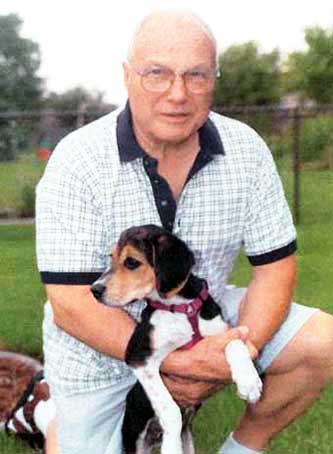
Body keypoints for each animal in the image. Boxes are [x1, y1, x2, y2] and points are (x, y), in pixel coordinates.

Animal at [91, 224, 262, 454]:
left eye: (131, 262)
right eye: (111, 257)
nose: (94, 290)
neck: (179, 307)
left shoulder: (220, 332)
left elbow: (235, 343)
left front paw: (249, 381)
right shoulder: (139, 357)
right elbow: (170, 409)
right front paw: (171, 447)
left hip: (188, 439)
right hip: (134, 439)